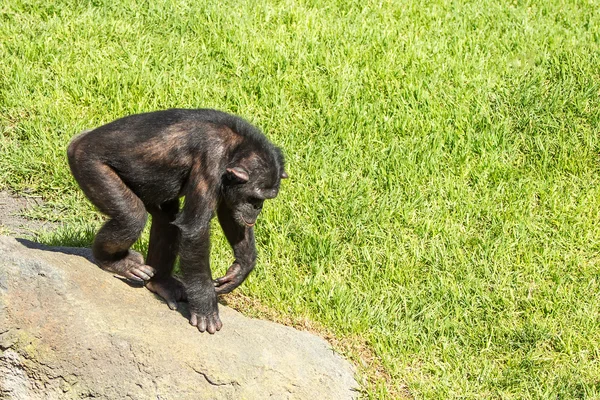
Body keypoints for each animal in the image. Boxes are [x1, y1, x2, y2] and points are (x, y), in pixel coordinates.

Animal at [67, 108, 288, 332]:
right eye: (254, 198)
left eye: (264, 199)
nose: (257, 208)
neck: (236, 146)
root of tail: (78, 140)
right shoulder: (211, 162)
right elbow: (196, 229)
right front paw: (206, 307)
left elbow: (231, 215)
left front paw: (241, 269)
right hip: (90, 166)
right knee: (132, 217)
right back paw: (113, 261)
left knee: (166, 220)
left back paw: (161, 283)